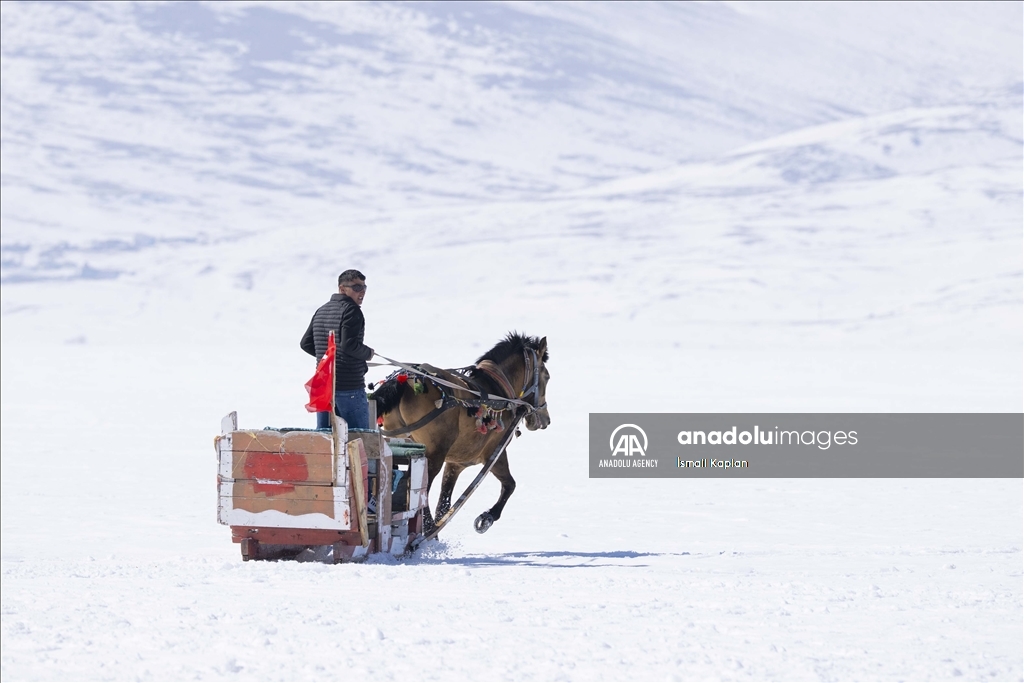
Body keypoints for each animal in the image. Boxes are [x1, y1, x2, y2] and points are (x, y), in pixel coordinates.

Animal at [374, 331, 552, 532]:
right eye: (547, 376)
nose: (546, 419)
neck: (498, 391)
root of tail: (404, 381)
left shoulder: (455, 463)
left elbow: (443, 505)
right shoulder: (494, 453)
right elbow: (509, 485)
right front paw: (487, 517)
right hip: (434, 455)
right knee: (422, 494)